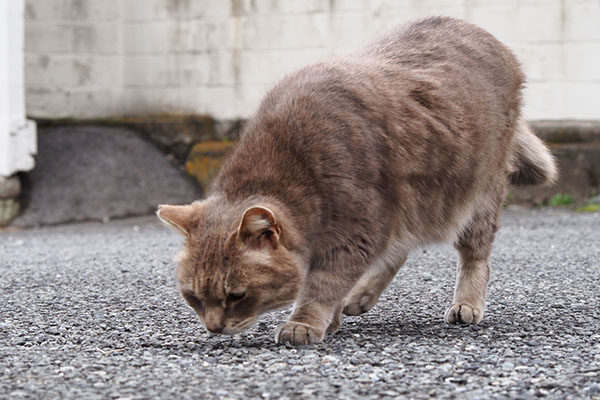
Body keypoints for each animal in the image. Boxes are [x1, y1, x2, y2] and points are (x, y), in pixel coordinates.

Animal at [157, 17, 556, 346]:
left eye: (236, 295)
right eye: (193, 296)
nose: (213, 328)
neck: (292, 165)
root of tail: (485, 34)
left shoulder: (355, 234)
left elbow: (321, 285)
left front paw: (305, 322)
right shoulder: (367, 229)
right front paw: (332, 318)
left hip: (474, 196)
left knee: (475, 255)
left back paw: (467, 303)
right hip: (411, 207)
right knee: (398, 249)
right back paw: (360, 297)